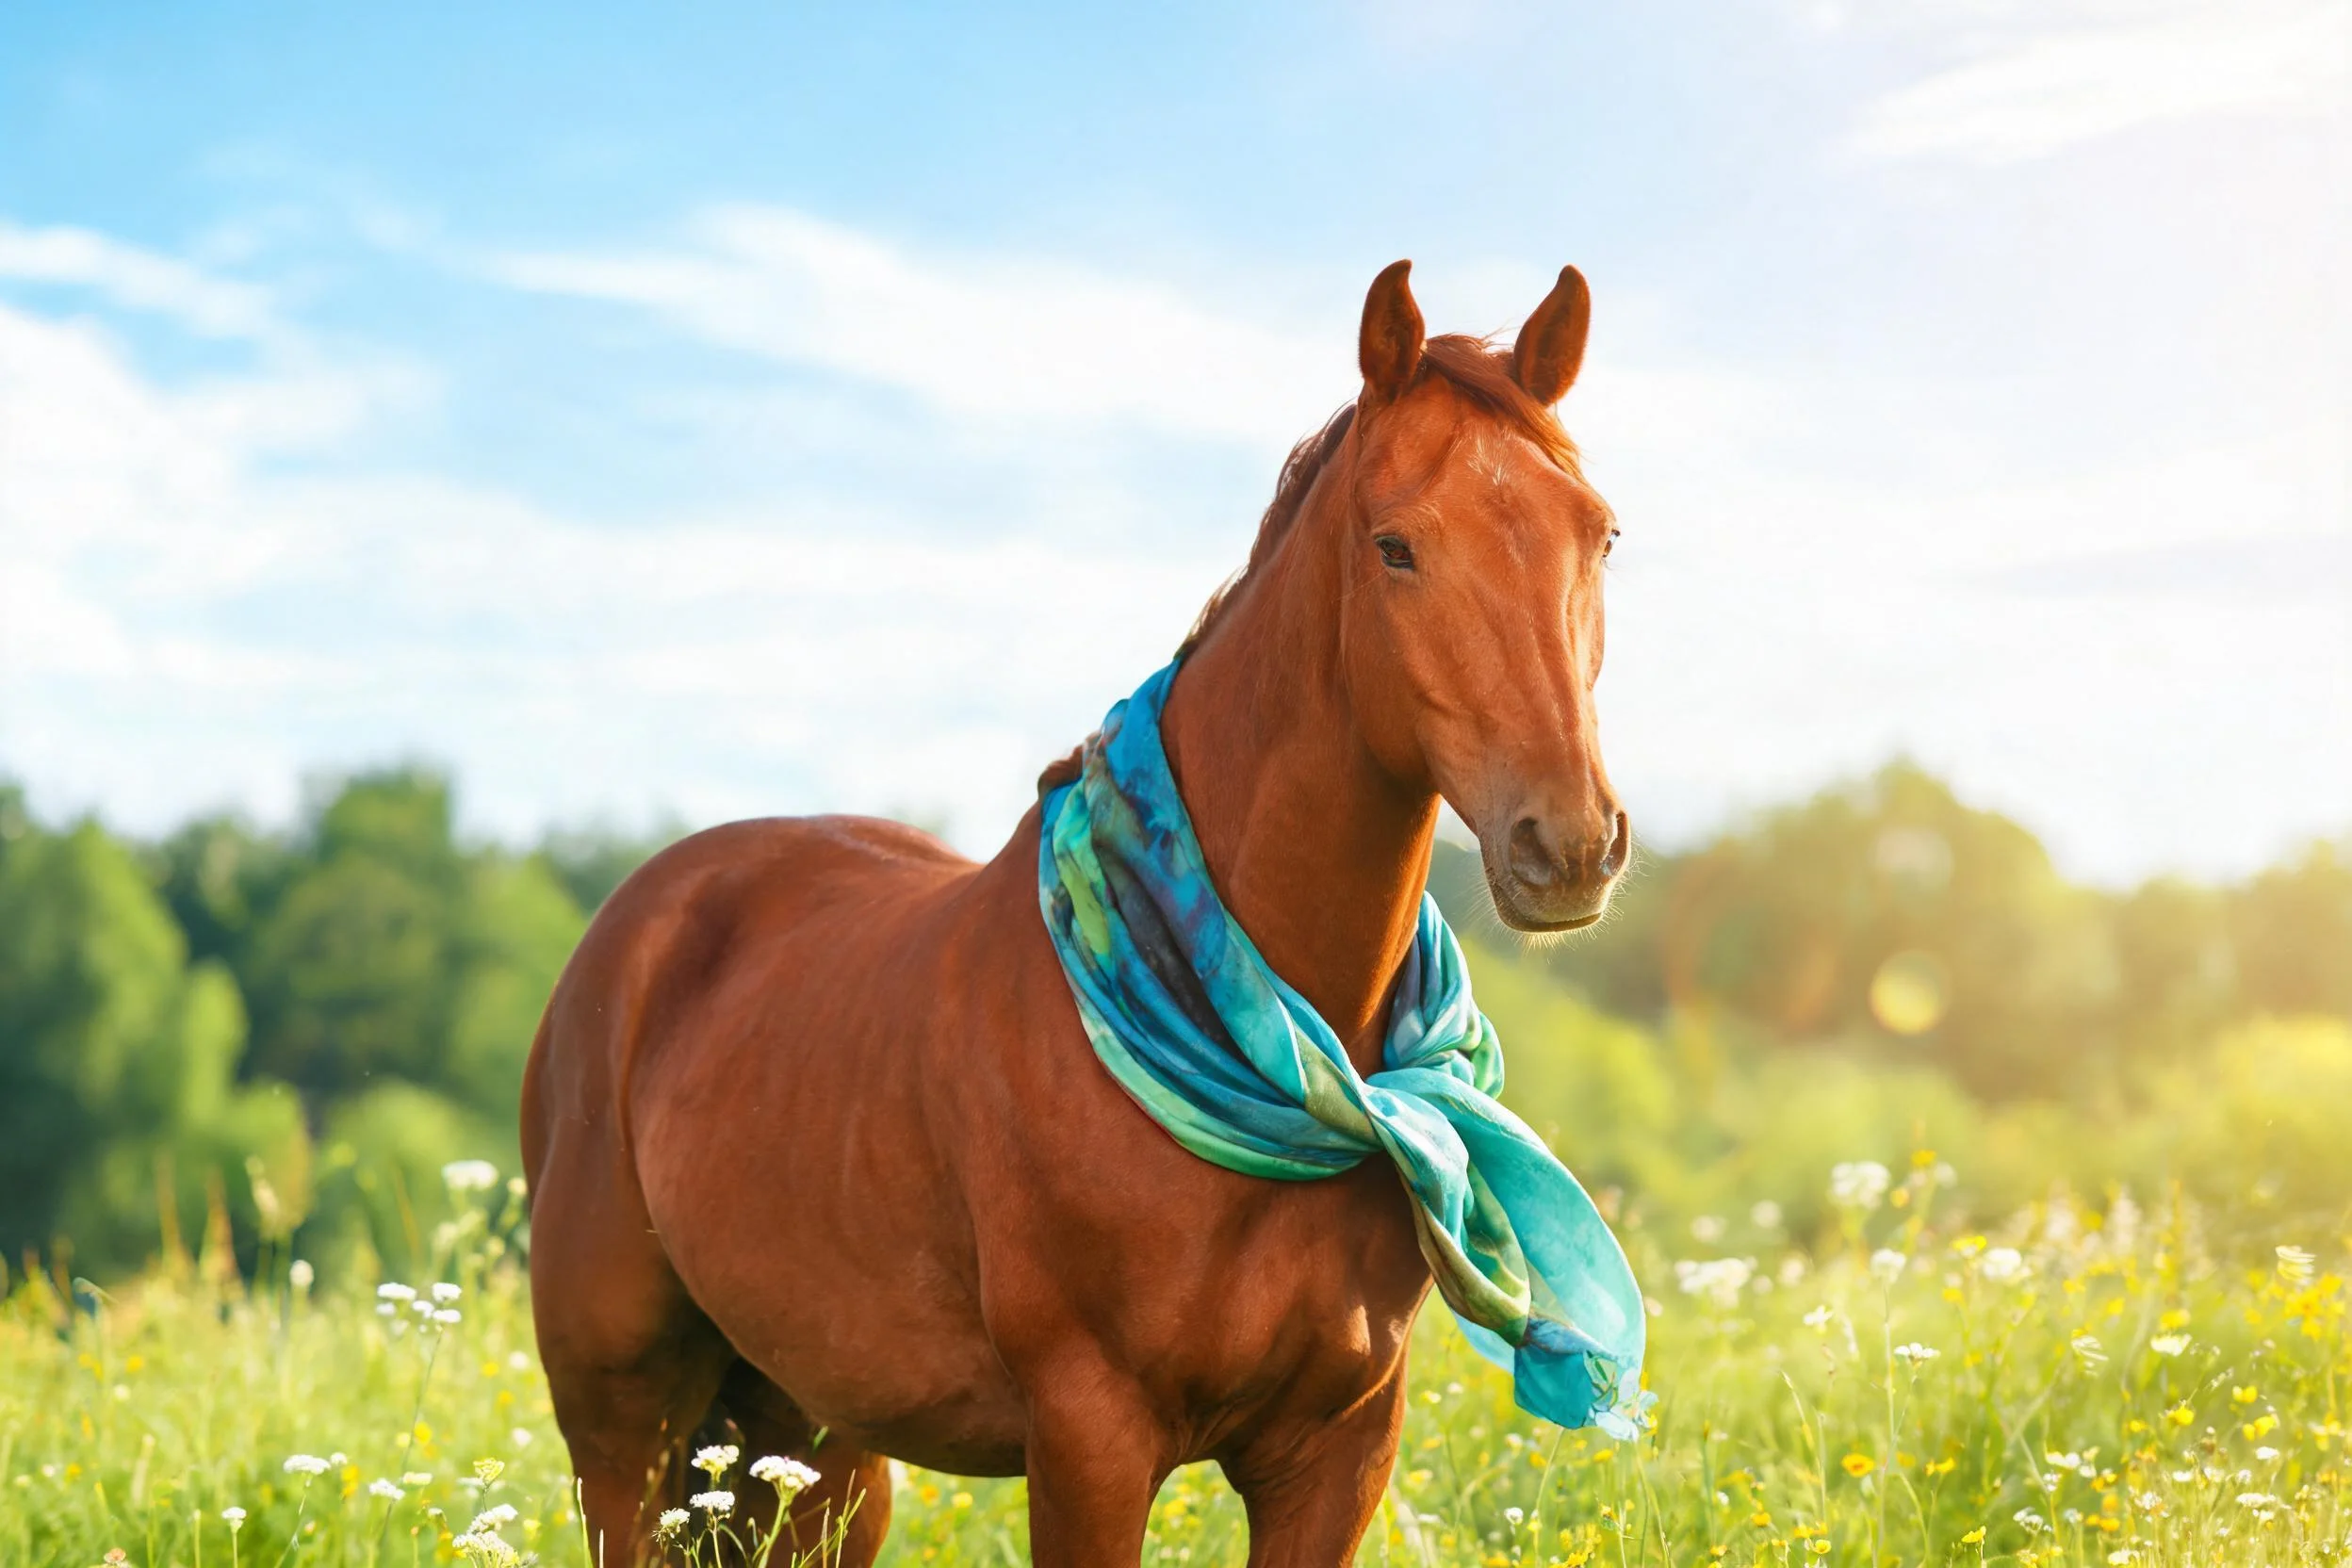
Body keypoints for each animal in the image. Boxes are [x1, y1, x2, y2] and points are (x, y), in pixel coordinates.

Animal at [522, 258, 1631, 1568]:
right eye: (1395, 545)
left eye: (1601, 534)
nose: (1567, 841)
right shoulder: (1091, 1438)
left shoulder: (1339, 1449)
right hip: (622, 1436)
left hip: (812, 1440)